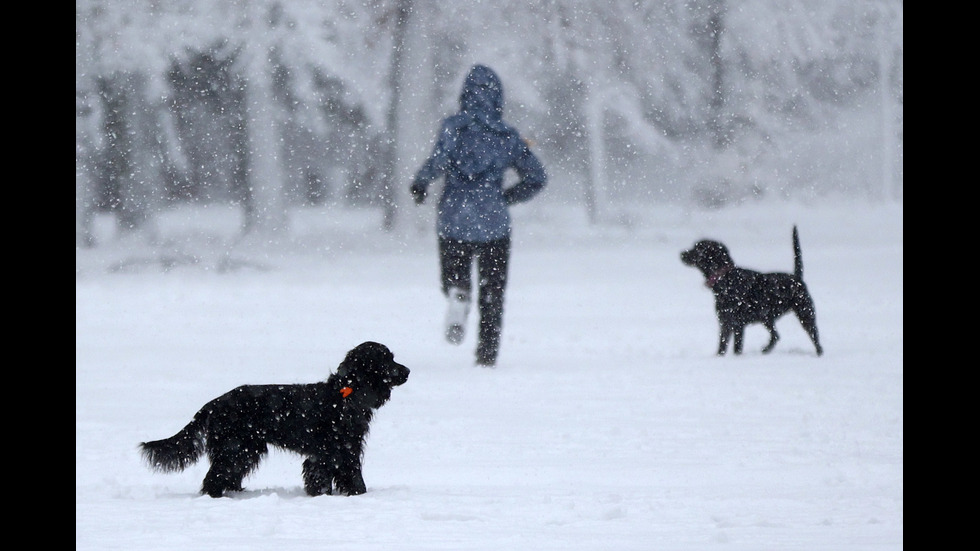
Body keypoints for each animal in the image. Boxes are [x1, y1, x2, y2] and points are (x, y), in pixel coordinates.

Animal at [140, 342, 408, 498]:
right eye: (387, 359)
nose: (407, 371)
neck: (345, 396)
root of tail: (213, 404)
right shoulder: (333, 450)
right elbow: (339, 475)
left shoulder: (344, 448)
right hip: (236, 446)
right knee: (215, 475)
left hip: (247, 449)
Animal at [680, 225, 820, 358]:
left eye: (699, 248)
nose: (682, 254)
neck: (725, 279)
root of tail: (797, 278)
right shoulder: (725, 323)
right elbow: (722, 347)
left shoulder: (737, 325)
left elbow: (736, 348)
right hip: (766, 317)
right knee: (775, 336)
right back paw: (765, 350)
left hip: (805, 315)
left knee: (814, 340)